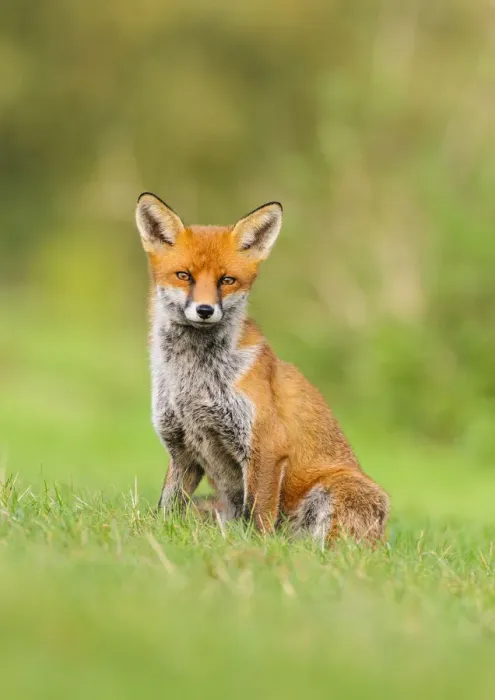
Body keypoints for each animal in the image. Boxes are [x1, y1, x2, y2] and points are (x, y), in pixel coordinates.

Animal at [135, 192, 389, 544]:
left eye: (227, 280)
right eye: (183, 275)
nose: (205, 310)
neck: (193, 379)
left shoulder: (266, 447)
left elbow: (259, 517)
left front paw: (258, 550)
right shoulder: (182, 449)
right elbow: (167, 508)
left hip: (334, 495)